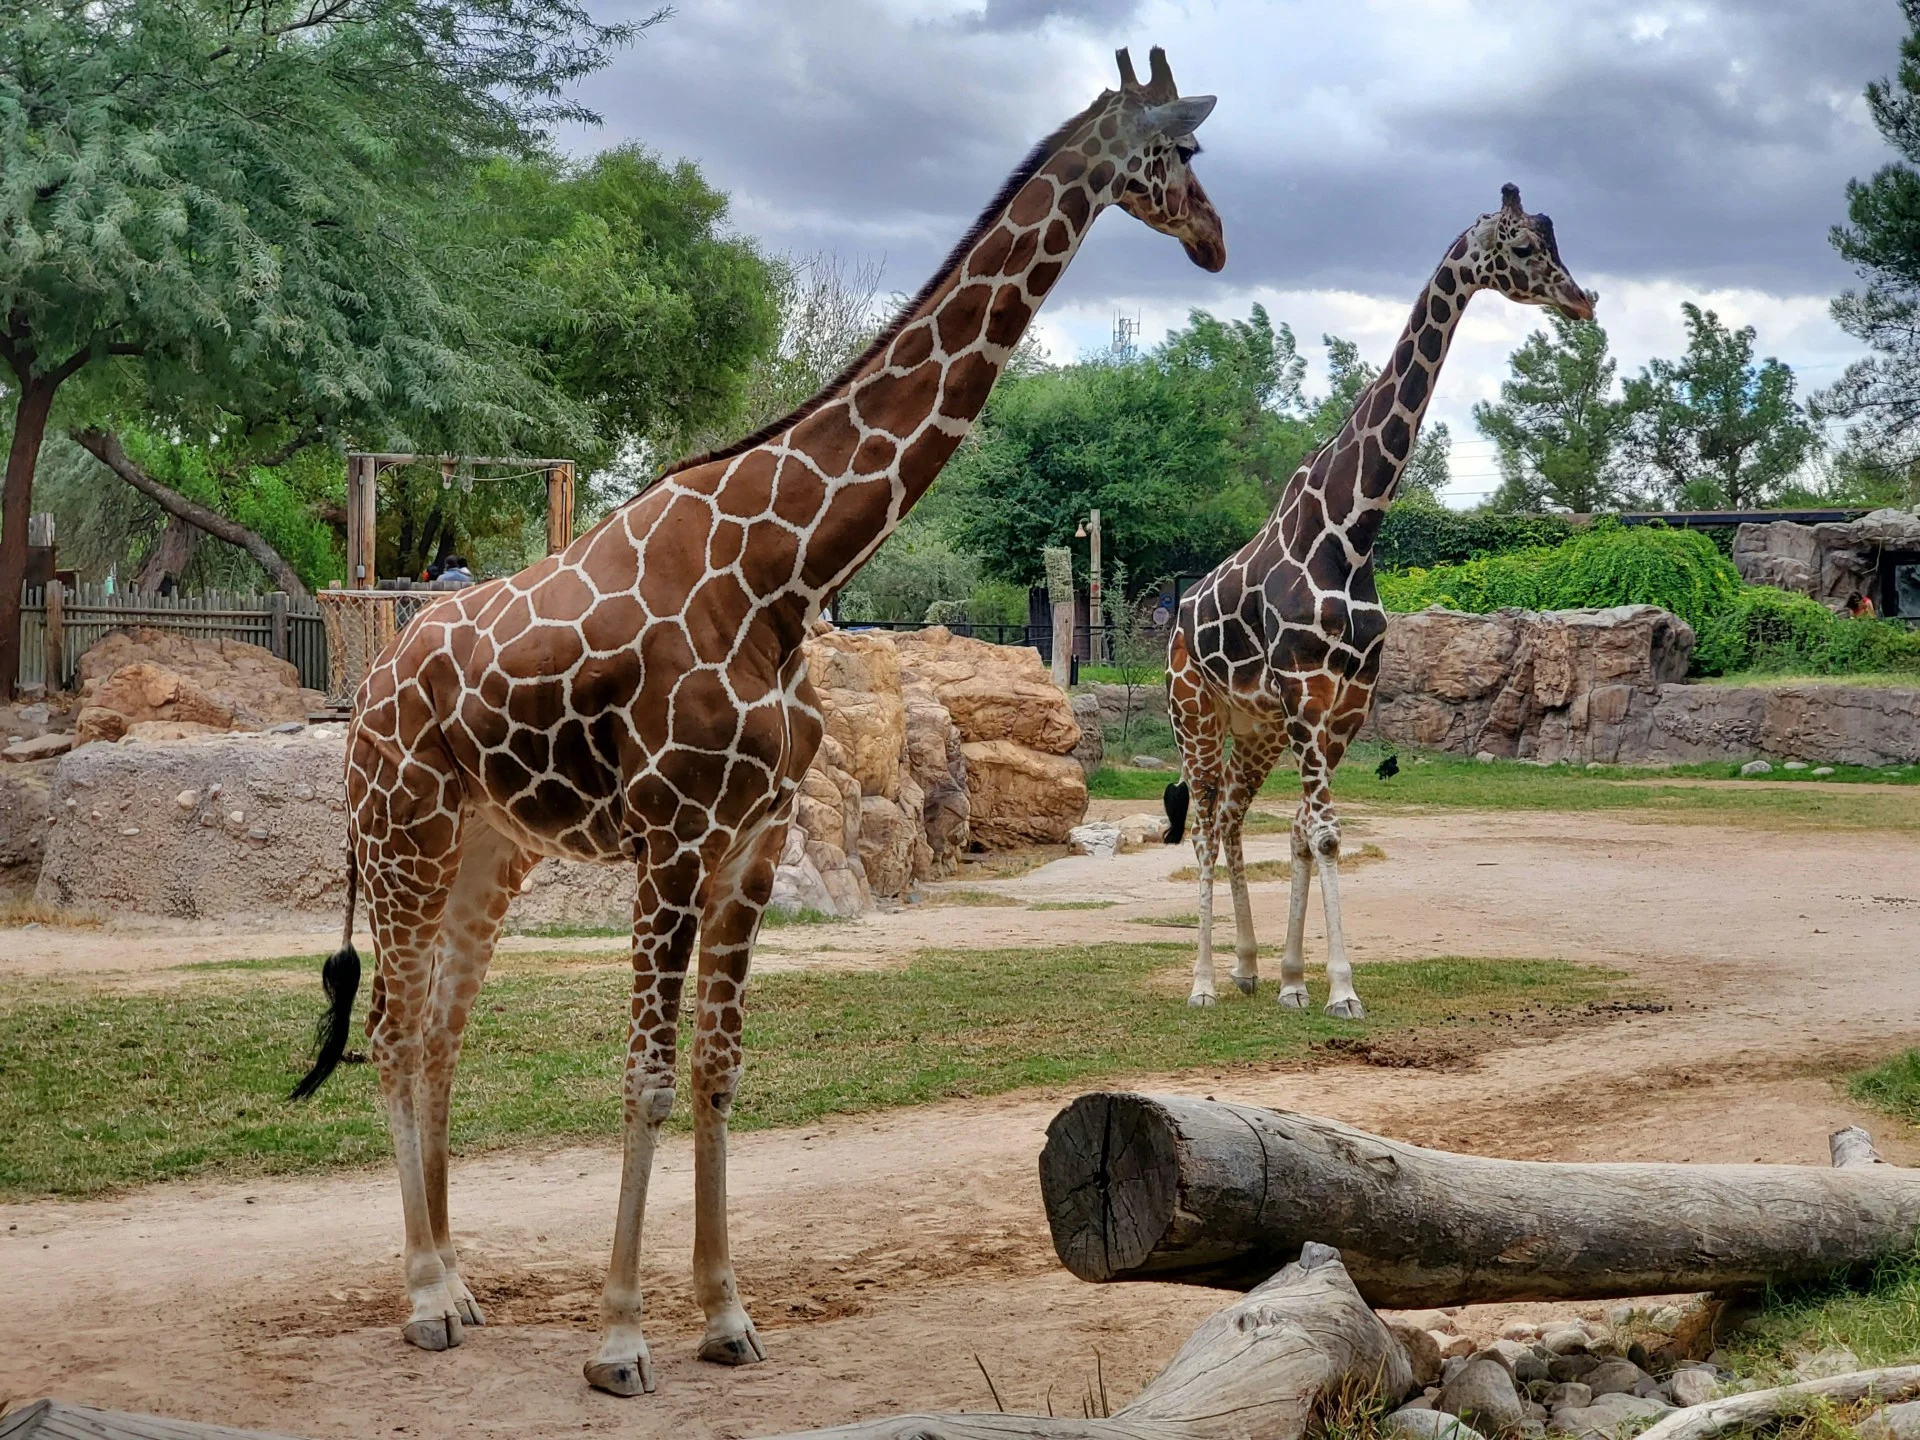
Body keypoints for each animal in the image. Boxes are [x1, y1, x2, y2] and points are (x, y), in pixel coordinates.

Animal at [291, 50, 1221, 1405]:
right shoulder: (674, 838)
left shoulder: (755, 840)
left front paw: (726, 1317)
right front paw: (620, 1343)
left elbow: (720, 1071)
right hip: (404, 832)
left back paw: (460, 1285)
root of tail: (371, 684)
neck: (784, 570)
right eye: (1174, 154)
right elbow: (646, 1071)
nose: (1213, 240)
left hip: (489, 849)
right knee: (395, 1029)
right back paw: (422, 1298)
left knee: (444, 1035)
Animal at [1167, 180, 1589, 1013]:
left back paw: (1246, 968)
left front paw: (1295, 982)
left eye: (1556, 242)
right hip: (1193, 715)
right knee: (1200, 828)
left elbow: (1306, 832)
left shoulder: (1346, 702)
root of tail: (1170, 626)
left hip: (1254, 727)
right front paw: (1340, 990)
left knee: (1230, 820)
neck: (1353, 531)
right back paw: (1200, 985)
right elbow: (1326, 833)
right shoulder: (1305, 692)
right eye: (1526, 248)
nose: (1582, 300)